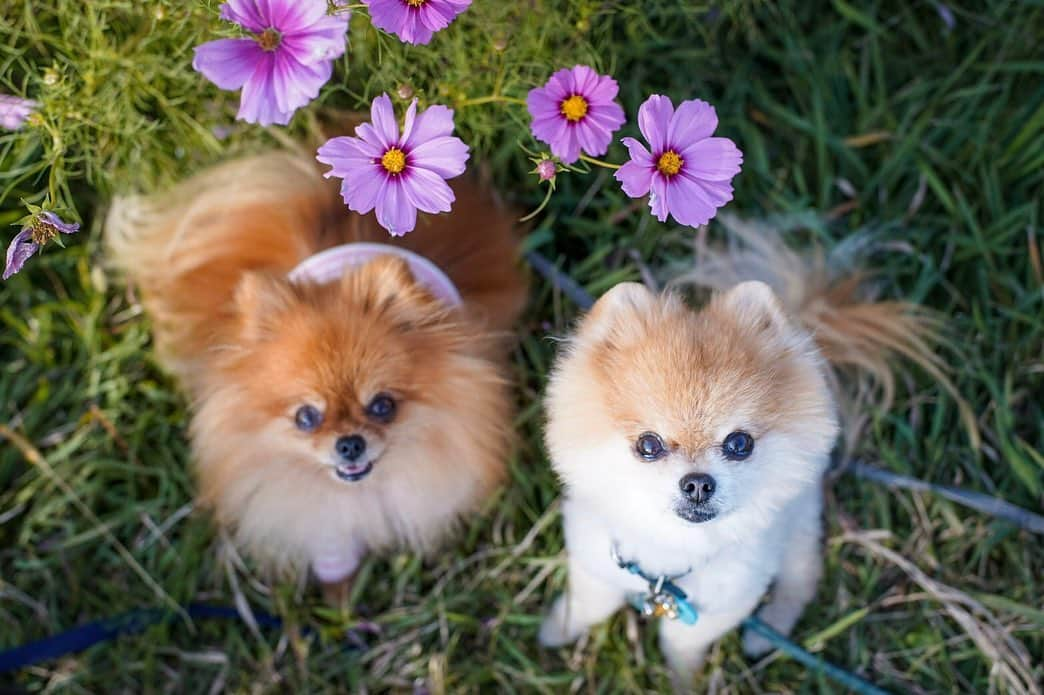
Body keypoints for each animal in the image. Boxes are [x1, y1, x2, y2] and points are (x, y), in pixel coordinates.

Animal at [104, 149, 526, 596]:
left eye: (382, 406)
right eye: (306, 417)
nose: (350, 444)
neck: (360, 493)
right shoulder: (321, 523)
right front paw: (339, 597)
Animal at [538, 214, 968, 680]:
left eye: (739, 443)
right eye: (648, 445)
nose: (697, 484)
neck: (669, 562)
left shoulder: (731, 599)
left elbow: (683, 640)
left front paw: (683, 676)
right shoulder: (595, 563)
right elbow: (587, 605)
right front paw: (555, 631)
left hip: (799, 526)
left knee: (801, 579)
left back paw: (767, 633)